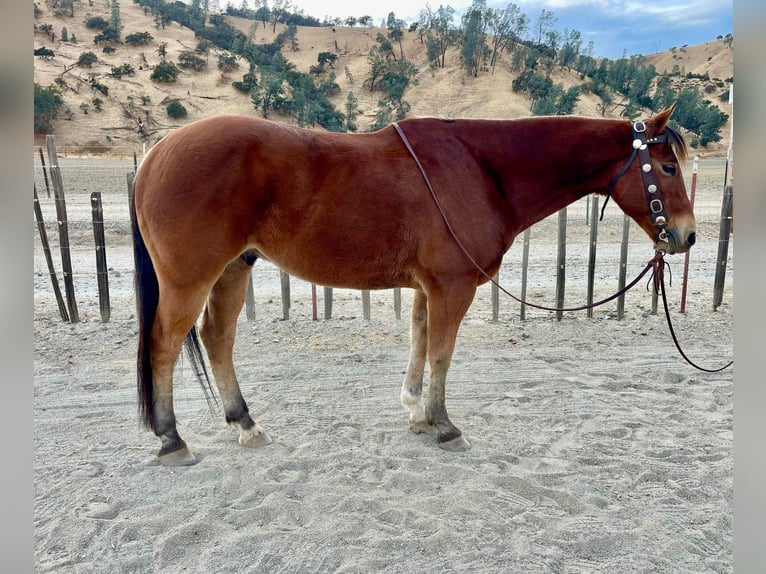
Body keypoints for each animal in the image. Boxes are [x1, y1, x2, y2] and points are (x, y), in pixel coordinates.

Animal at [130, 104, 696, 468]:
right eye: (667, 166)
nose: (687, 235)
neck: (481, 168)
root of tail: (157, 153)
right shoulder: (453, 286)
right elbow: (442, 352)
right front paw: (444, 424)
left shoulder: (429, 288)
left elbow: (420, 342)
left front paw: (418, 414)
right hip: (190, 279)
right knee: (163, 345)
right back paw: (172, 440)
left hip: (233, 269)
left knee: (217, 339)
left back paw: (243, 423)